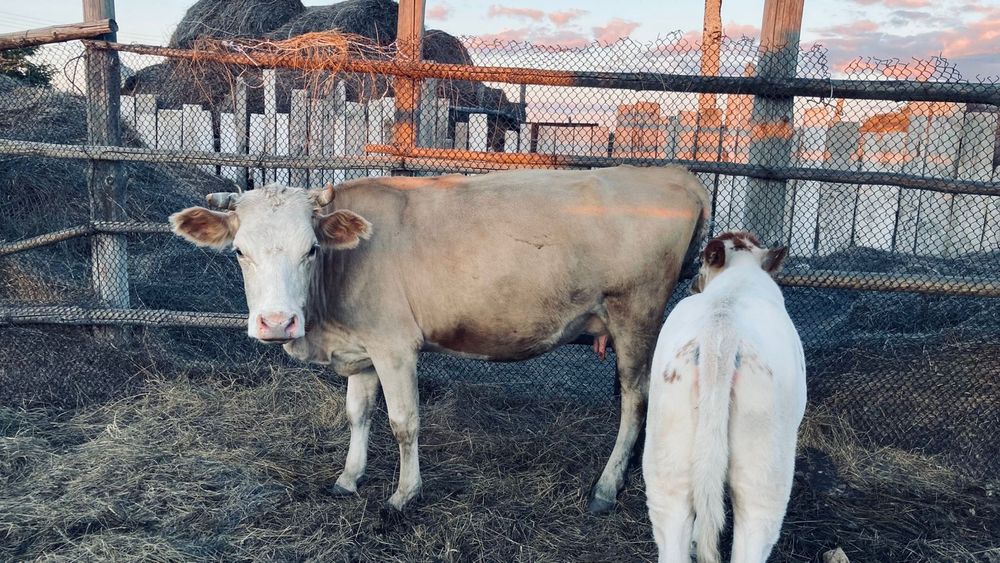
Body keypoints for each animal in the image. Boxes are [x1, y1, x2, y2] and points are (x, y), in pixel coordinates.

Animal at [169, 165, 710, 513]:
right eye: (240, 251)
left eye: (311, 249)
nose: (277, 322)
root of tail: (674, 173)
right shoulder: (363, 348)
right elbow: (357, 414)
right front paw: (348, 478)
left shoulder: (395, 347)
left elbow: (404, 422)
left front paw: (403, 495)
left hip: (636, 315)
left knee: (636, 401)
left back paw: (607, 487)